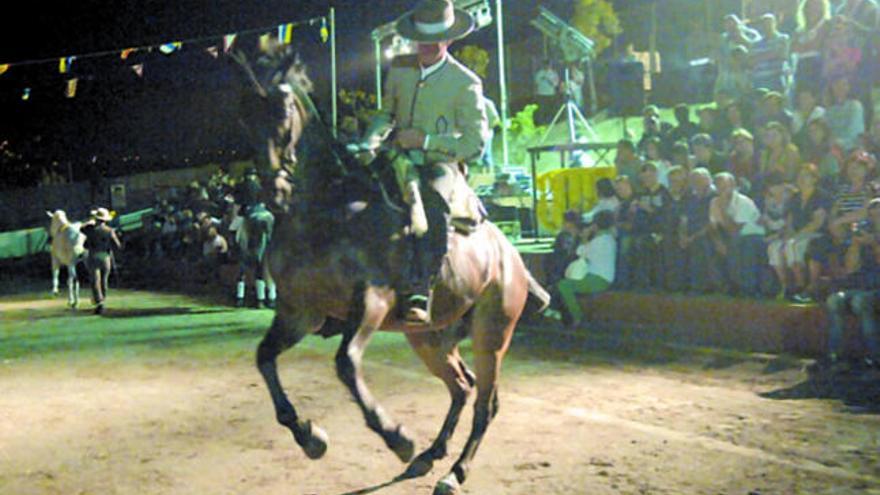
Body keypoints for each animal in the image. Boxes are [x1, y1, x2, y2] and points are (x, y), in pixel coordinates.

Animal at [234, 48, 552, 494]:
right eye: (245, 117)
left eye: (283, 113)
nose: (273, 191)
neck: (327, 212)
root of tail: (511, 255)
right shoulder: (300, 312)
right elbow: (265, 358)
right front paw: (310, 436)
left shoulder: (372, 301)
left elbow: (345, 364)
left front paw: (396, 437)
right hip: (429, 337)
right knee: (462, 386)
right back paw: (430, 456)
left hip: (492, 333)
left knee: (485, 403)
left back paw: (454, 472)